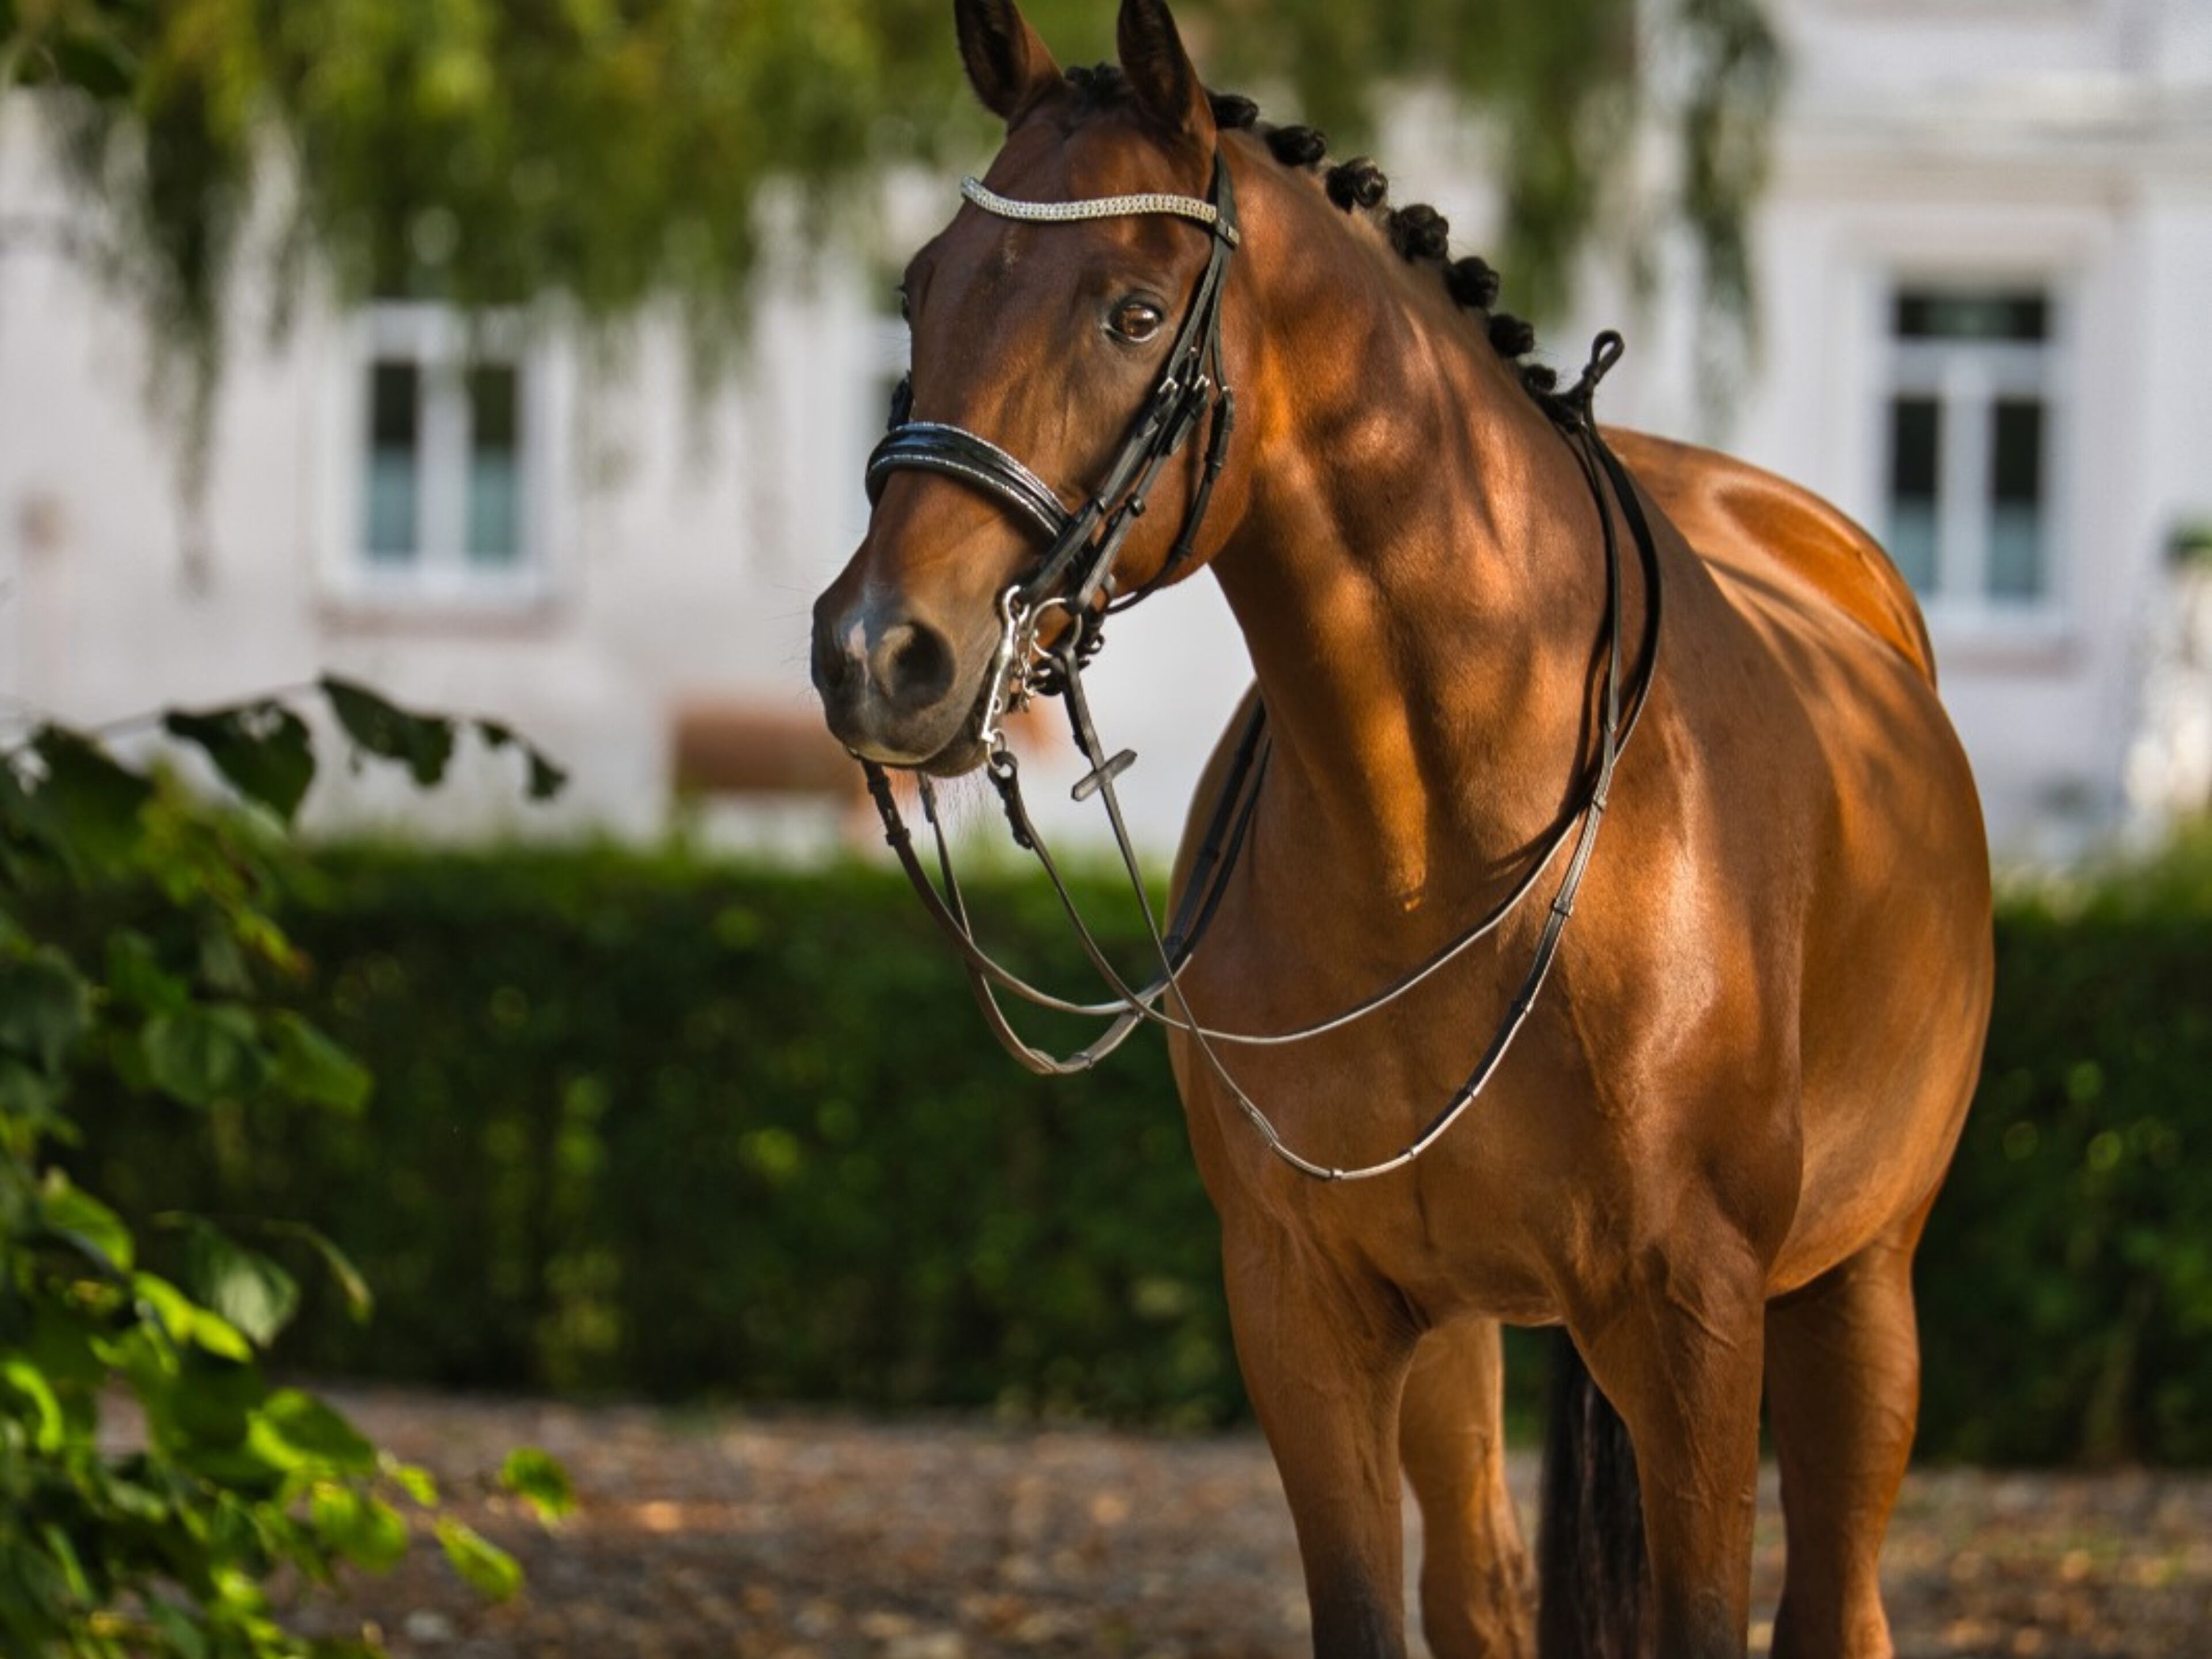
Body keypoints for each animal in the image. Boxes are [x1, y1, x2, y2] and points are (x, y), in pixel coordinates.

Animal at [809, 2, 1995, 1654]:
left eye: (1131, 314)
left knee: (1840, 1592)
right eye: (920, 287)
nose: (878, 653)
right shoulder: (1308, 1309)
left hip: (1859, 1293)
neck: (1443, 836)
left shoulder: (1696, 1316)